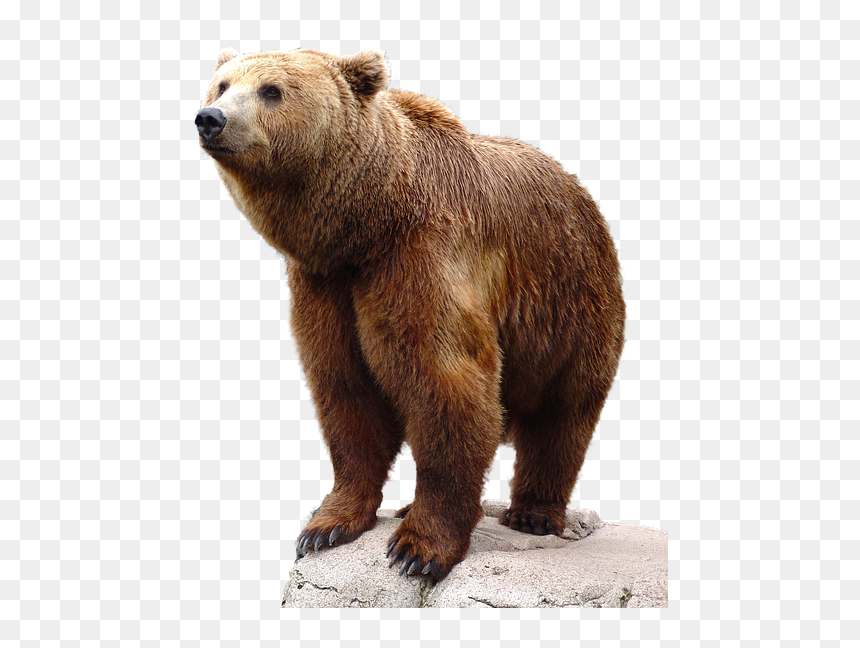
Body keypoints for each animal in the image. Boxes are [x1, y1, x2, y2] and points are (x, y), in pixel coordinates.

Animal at [196, 48, 625, 581]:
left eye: (271, 90)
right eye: (222, 84)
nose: (210, 118)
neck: (364, 224)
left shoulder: (420, 258)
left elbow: (447, 383)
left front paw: (417, 549)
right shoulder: (325, 285)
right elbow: (345, 389)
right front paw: (325, 527)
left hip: (570, 303)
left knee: (562, 413)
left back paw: (533, 512)